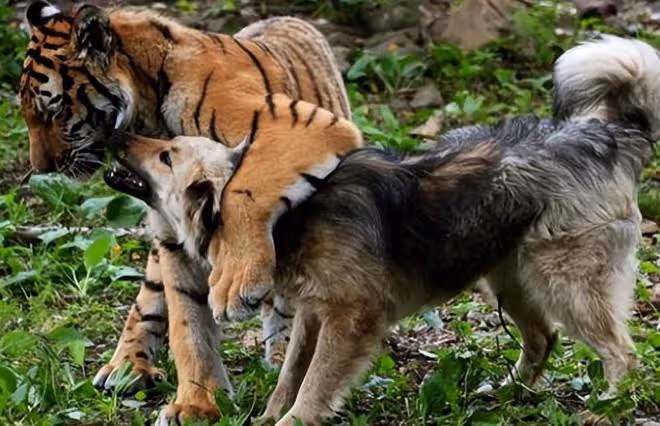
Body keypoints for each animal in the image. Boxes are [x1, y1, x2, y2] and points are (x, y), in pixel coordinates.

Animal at [20, 0, 358, 422]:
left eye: (55, 110)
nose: (41, 168)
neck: (148, 110)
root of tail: (289, 18)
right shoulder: (173, 238)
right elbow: (187, 322)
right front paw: (198, 403)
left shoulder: (305, 126)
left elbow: (244, 193)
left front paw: (236, 285)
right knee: (149, 295)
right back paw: (126, 364)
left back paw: (278, 350)